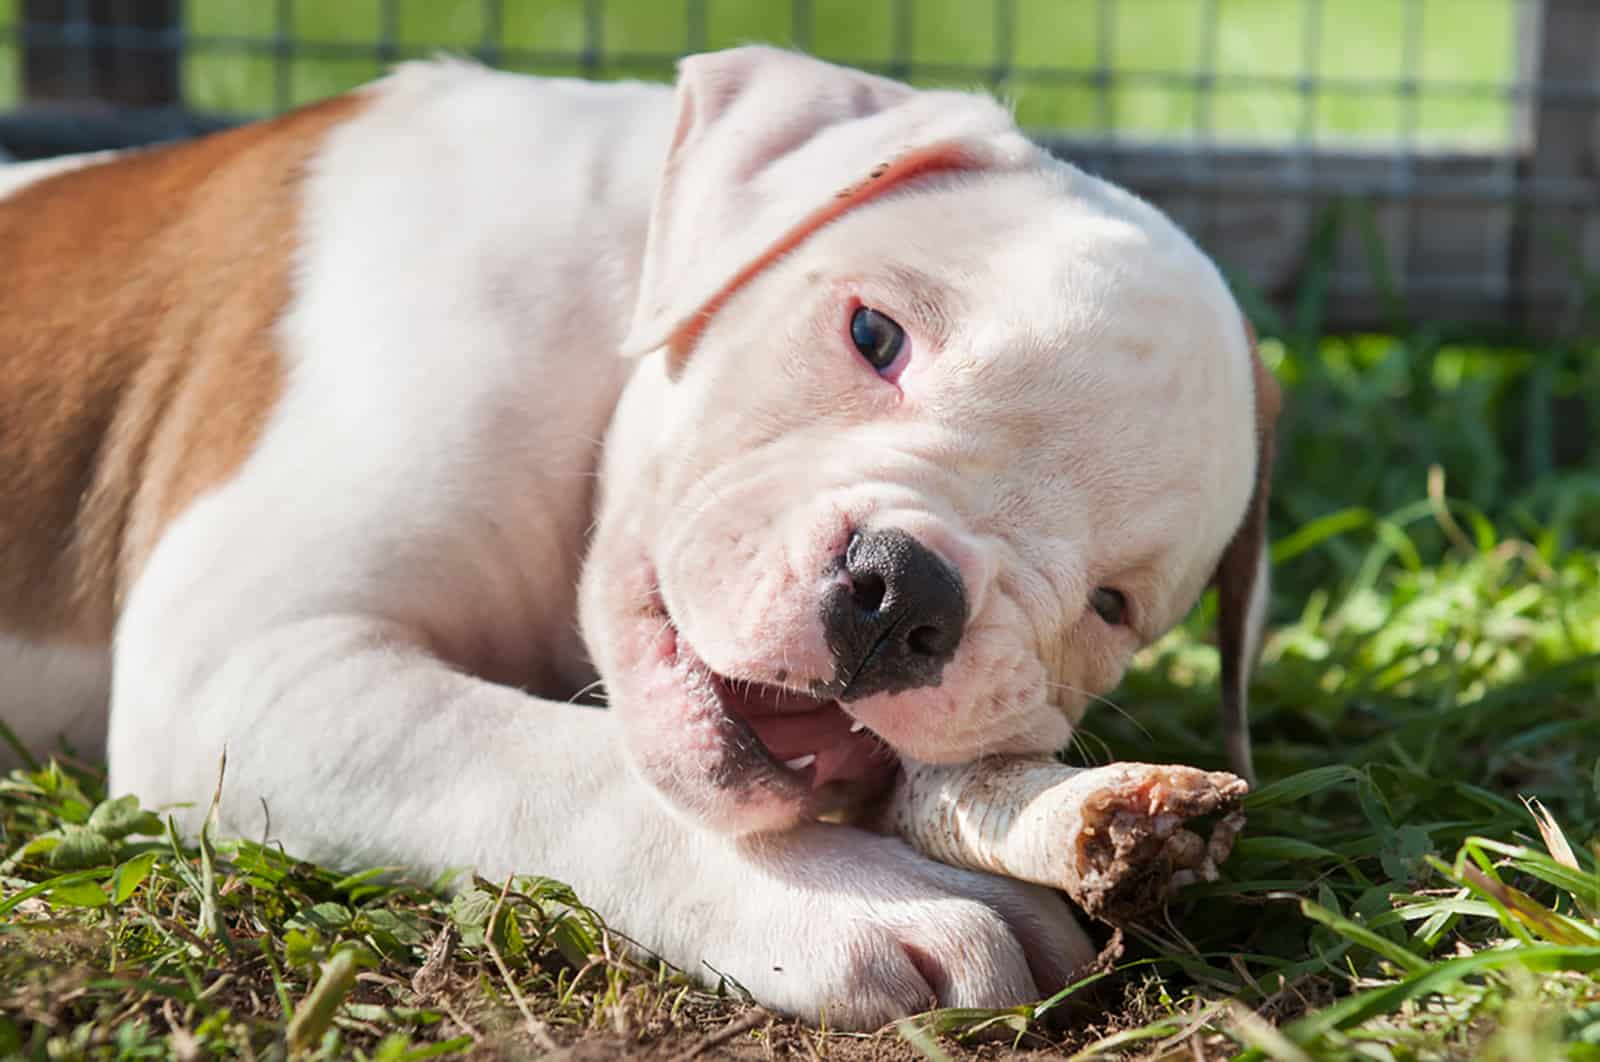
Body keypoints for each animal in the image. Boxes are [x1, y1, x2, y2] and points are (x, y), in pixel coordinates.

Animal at [0, 49, 1273, 1030]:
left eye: (1111, 607)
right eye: (874, 335)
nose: (904, 593)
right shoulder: (242, 666)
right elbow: (555, 757)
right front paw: (854, 896)